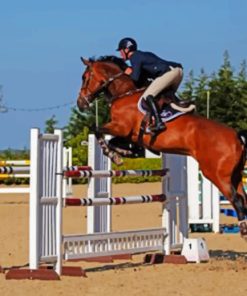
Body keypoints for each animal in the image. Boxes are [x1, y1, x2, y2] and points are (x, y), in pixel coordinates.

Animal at [77, 55, 247, 236]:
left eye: (85, 77)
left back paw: (243, 228)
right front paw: (124, 152)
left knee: (237, 200)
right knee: (243, 198)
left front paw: (112, 154)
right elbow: (114, 141)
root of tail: (237, 137)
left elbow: (97, 129)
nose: (80, 103)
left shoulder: (121, 127)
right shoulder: (129, 134)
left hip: (217, 175)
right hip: (235, 175)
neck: (124, 93)